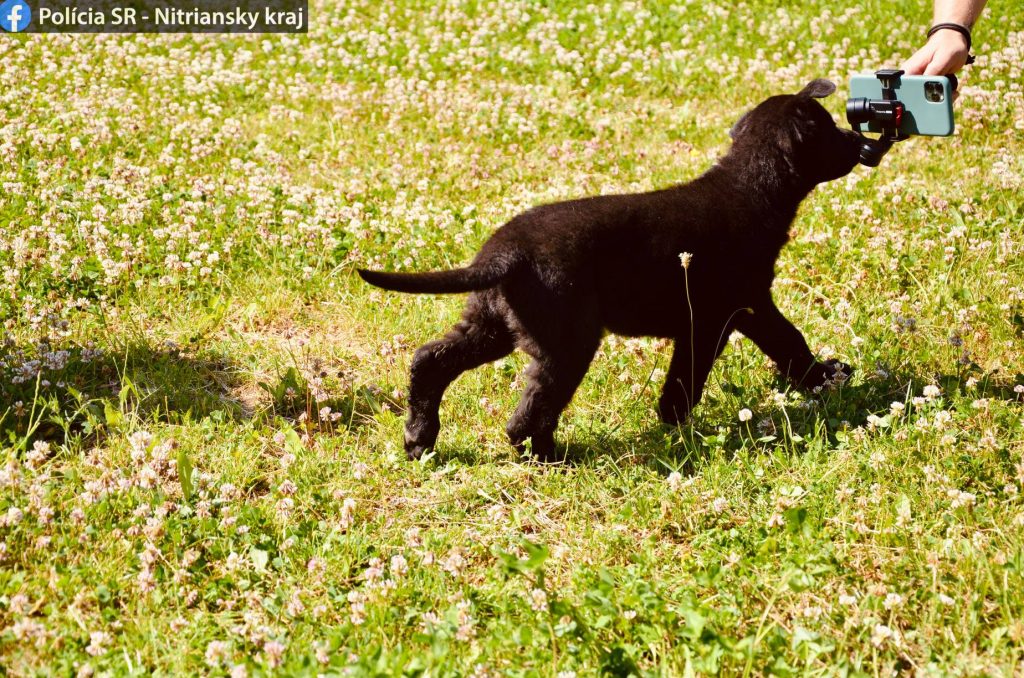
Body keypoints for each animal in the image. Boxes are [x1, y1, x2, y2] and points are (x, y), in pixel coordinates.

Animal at [364, 78, 860, 462]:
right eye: (829, 128)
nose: (862, 144)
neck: (752, 189)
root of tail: (500, 255)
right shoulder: (723, 315)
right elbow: (741, 359)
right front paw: (677, 424)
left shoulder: (740, 311)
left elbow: (786, 346)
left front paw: (824, 378)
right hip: (568, 341)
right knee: (528, 414)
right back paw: (551, 456)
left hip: (494, 326)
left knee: (430, 360)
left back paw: (419, 440)